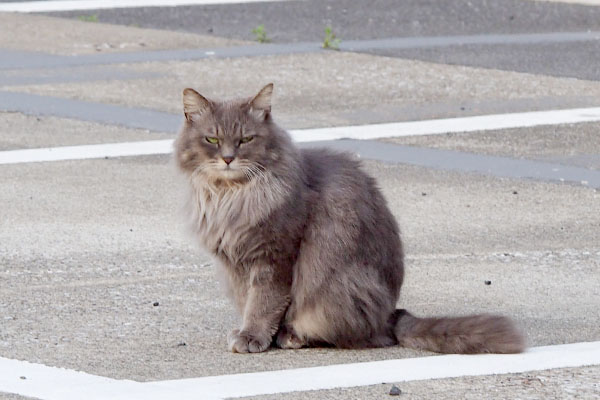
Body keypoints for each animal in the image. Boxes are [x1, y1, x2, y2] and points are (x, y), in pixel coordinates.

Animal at [173, 83, 524, 354]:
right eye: (212, 140)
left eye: (245, 139)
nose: (228, 158)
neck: (229, 197)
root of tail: (391, 315)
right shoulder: (235, 264)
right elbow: (249, 301)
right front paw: (250, 333)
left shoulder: (275, 256)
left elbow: (263, 303)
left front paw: (253, 337)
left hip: (338, 290)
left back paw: (293, 336)